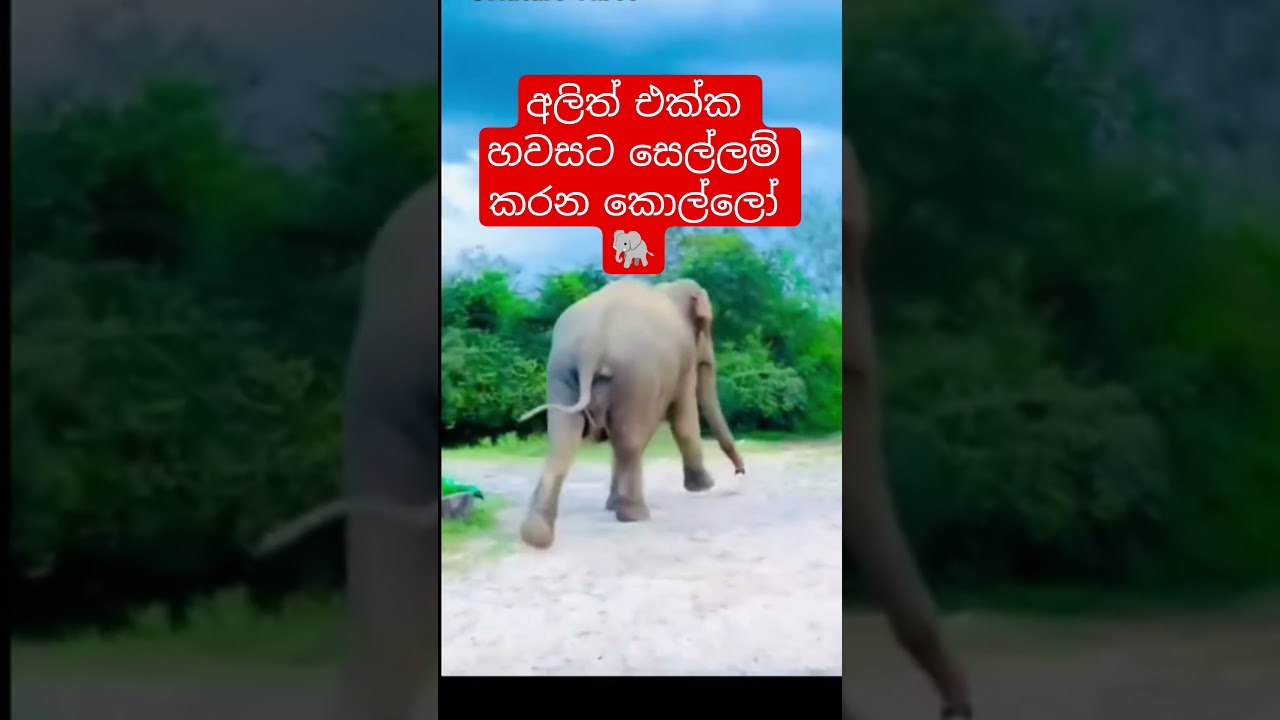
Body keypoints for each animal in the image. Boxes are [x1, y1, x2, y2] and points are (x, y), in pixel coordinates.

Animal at [517, 277, 746, 549]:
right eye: (706, 327)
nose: (739, 472)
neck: (666, 288)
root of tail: (592, 342)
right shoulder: (684, 359)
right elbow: (684, 416)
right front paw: (704, 487)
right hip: (636, 375)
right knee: (630, 441)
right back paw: (635, 515)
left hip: (561, 370)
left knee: (563, 440)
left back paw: (535, 535)